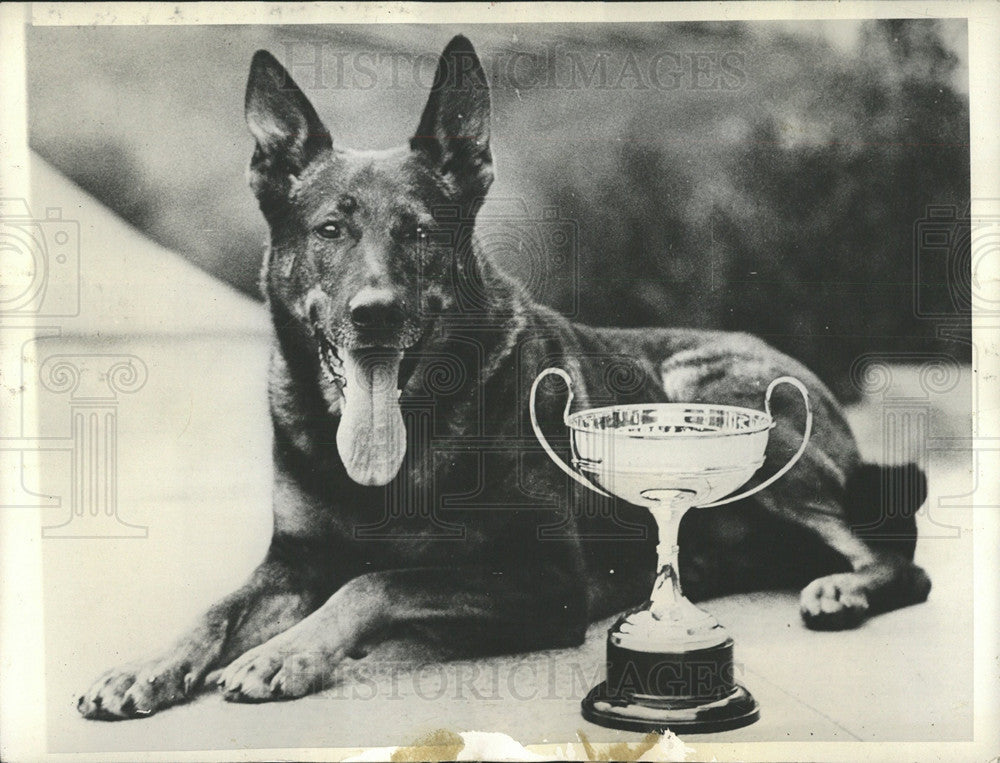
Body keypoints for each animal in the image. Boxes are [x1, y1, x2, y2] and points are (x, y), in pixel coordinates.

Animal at [76, 31, 928, 724]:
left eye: (420, 232)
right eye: (330, 229)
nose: (374, 314)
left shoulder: (546, 580)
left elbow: (383, 579)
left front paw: (292, 650)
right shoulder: (292, 560)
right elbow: (215, 609)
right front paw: (148, 665)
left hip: (713, 401)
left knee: (899, 552)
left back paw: (849, 586)